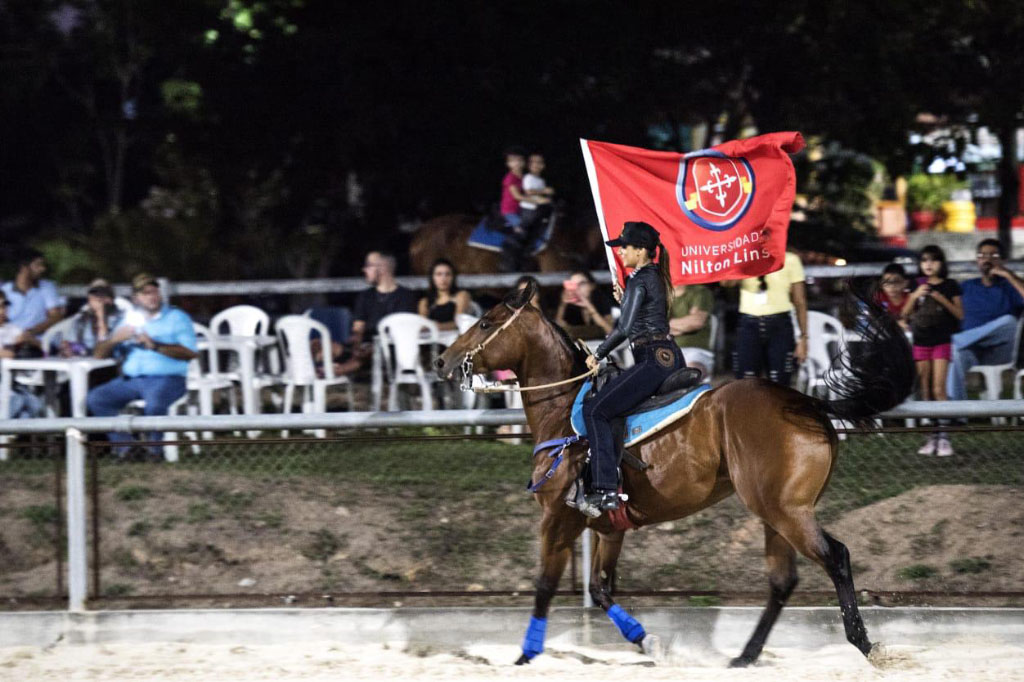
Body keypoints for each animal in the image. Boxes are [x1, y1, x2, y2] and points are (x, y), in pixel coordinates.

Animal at [436, 278, 917, 667]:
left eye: (485, 323)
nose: (442, 360)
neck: (564, 411)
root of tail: (805, 402)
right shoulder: (609, 527)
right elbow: (602, 588)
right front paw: (648, 642)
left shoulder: (559, 517)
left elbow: (544, 586)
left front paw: (525, 655)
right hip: (775, 513)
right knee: (783, 580)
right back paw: (746, 655)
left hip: (788, 512)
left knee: (836, 558)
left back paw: (864, 644)